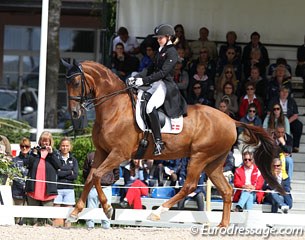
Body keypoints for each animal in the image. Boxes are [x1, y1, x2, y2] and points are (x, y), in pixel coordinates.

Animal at [63, 59, 282, 227]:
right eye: (67, 82)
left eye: (76, 81)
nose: (74, 113)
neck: (115, 108)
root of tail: (231, 120)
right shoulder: (102, 151)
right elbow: (90, 176)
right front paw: (74, 213)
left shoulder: (119, 154)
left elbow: (97, 175)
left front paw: (108, 209)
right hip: (213, 162)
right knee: (227, 190)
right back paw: (222, 225)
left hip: (199, 156)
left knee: (189, 185)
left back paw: (157, 212)